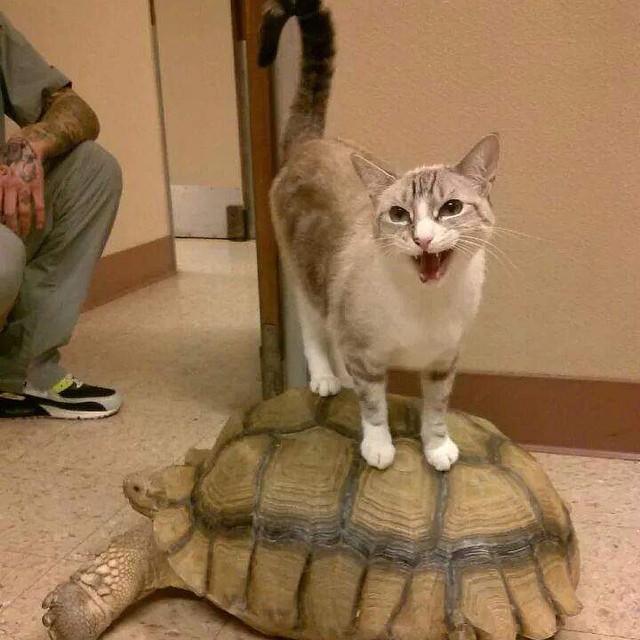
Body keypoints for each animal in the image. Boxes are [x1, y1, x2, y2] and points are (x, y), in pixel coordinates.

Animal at [260, 0, 500, 470]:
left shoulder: (444, 361)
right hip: (305, 278)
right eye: (398, 214)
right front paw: (379, 447)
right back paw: (326, 378)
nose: (422, 238)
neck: (425, 305)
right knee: (315, 330)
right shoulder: (366, 355)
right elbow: (373, 406)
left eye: (450, 208)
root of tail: (311, 143)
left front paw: (437, 448)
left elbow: (437, 409)